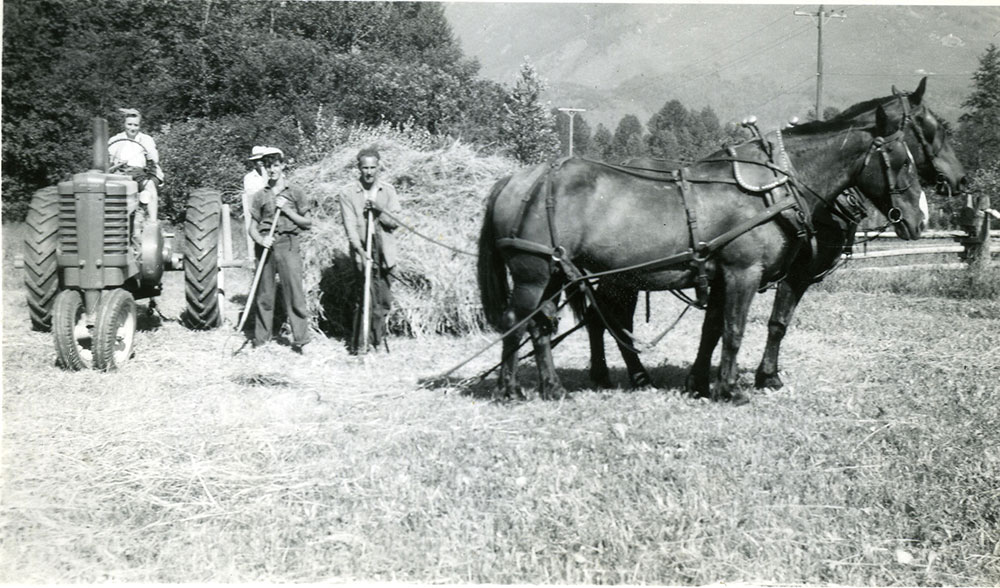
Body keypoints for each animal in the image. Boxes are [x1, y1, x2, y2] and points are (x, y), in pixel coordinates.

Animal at [480, 102, 924, 404]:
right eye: (902, 160)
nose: (919, 219)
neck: (772, 190)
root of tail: (519, 179)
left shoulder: (723, 276)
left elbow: (714, 329)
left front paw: (704, 384)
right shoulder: (743, 272)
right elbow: (734, 329)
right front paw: (731, 388)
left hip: (556, 274)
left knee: (543, 327)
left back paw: (553, 387)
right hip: (535, 274)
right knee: (519, 323)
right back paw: (509, 389)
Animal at [584, 78, 964, 392]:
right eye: (934, 130)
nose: (959, 181)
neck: (788, 186)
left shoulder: (726, 275)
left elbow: (714, 328)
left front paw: (700, 379)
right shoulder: (793, 273)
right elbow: (776, 323)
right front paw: (766, 376)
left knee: (600, 319)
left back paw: (609, 374)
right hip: (621, 278)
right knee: (609, 320)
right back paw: (633, 376)